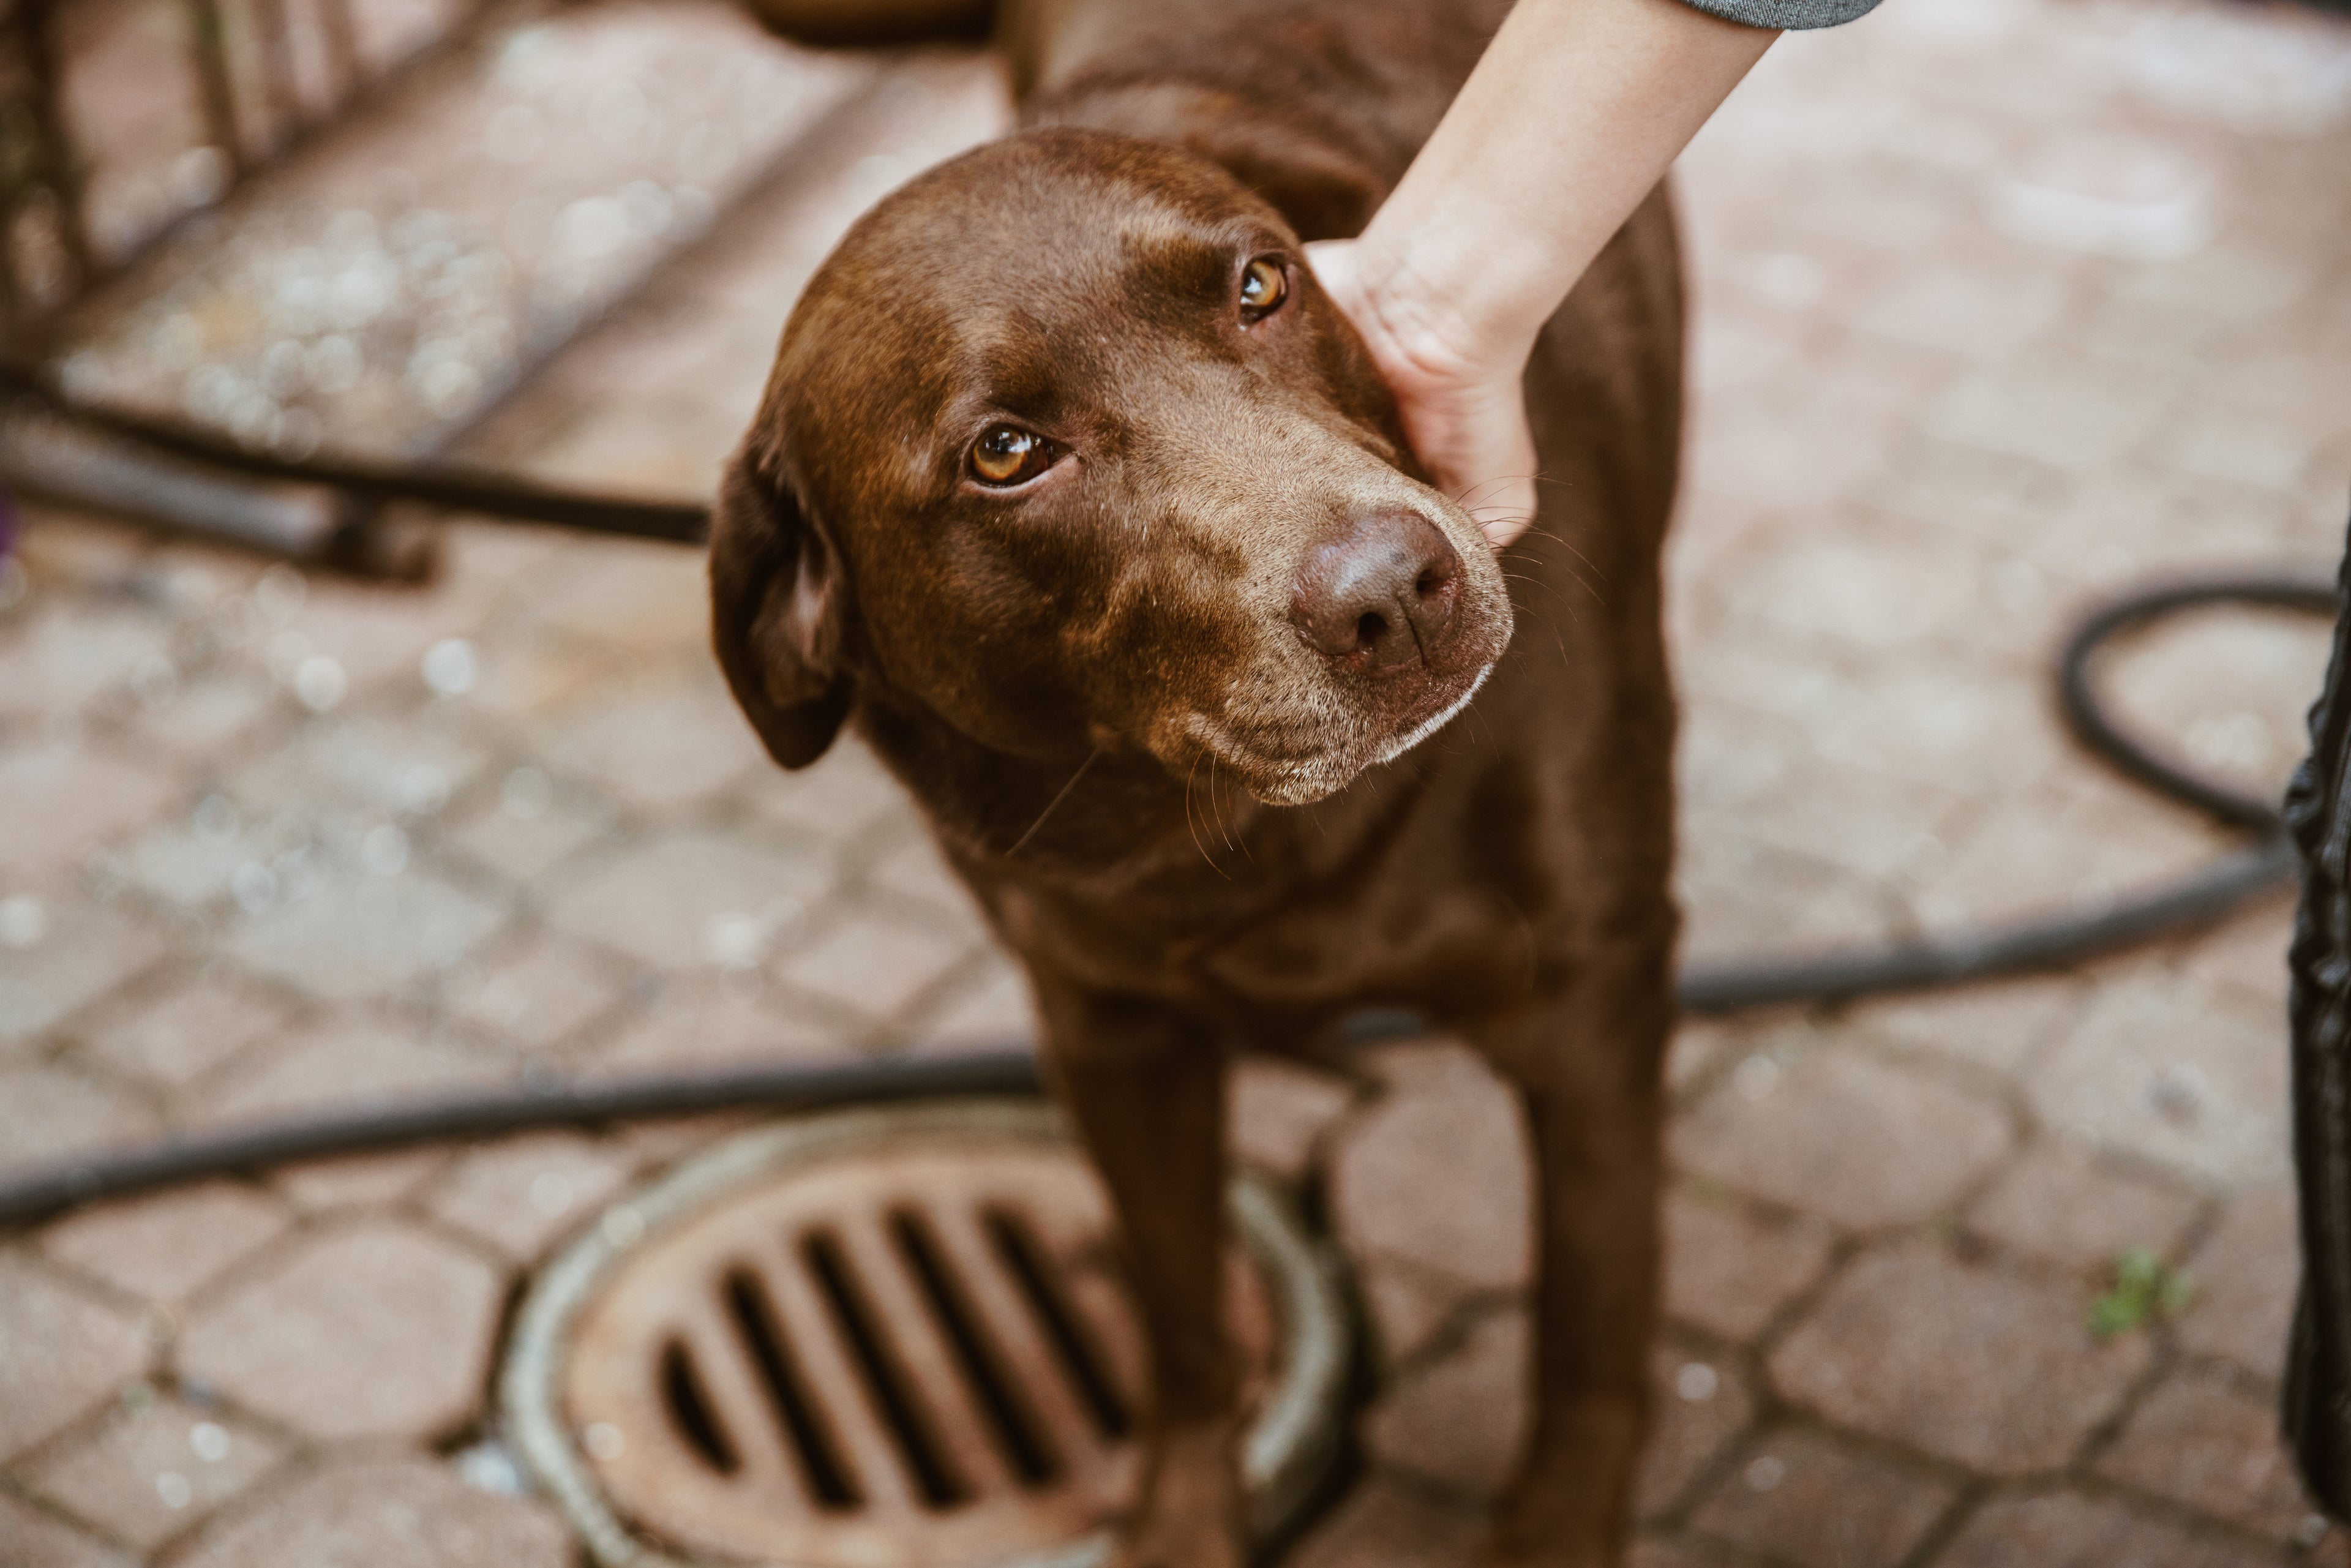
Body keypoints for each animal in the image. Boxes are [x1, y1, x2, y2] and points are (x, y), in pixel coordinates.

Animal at [705, 6, 1683, 1561]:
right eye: (1005, 451)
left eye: (1259, 284)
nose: (1394, 590)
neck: (1242, 833)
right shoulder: (1107, 1029)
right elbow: (1179, 1318)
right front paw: (1183, 1516)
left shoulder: (1590, 994)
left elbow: (1589, 1325)